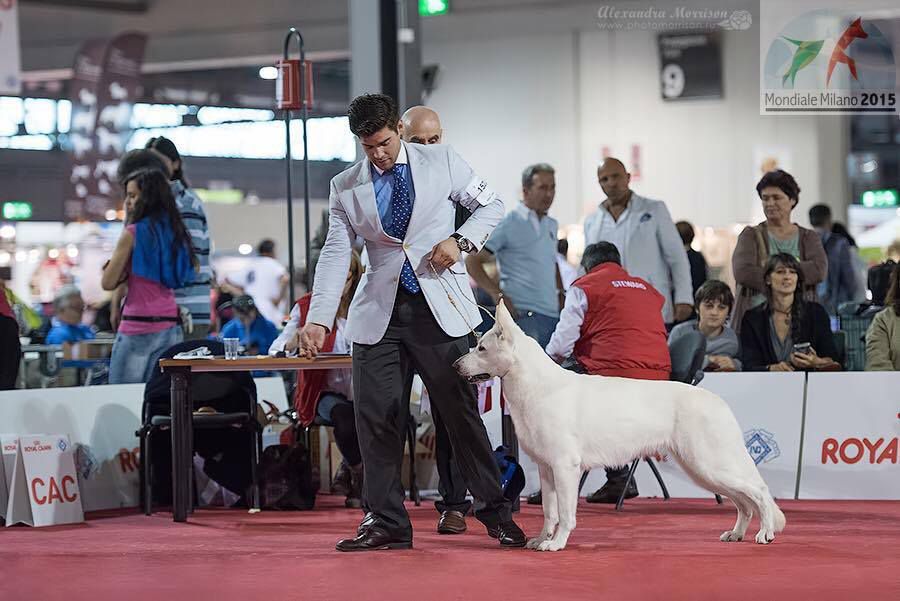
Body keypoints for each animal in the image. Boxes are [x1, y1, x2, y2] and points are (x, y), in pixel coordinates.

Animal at [454, 302, 784, 552]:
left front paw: (557, 544)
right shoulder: (547, 469)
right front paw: (541, 539)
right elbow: (549, 512)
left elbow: (566, 514)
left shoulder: (565, 468)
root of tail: (719, 402)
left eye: (481, 348)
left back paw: (765, 534)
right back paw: (737, 534)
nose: (455, 366)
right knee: (743, 502)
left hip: (709, 465)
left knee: (759, 491)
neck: (535, 385)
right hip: (704, 471)